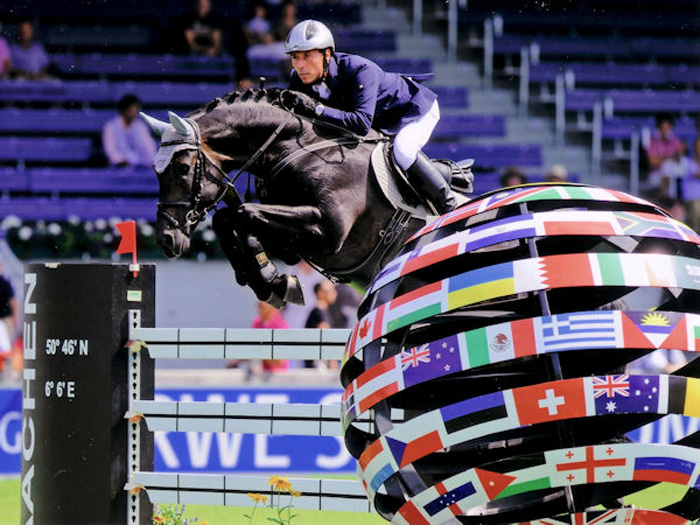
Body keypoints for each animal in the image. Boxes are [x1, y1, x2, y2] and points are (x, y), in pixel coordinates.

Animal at [140, 87, 474, 304]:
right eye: (156, 171)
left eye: (182, 168)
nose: (166, 239)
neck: (300, 148)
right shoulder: (294, 242)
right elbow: (228, 218)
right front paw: (269, 282)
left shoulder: (327, 233)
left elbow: (245, 213)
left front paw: (270, 278)